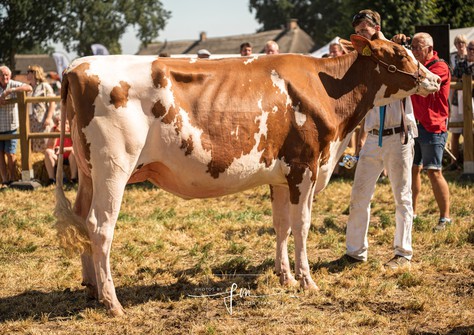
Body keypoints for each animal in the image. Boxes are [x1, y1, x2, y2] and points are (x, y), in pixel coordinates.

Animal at [55, 35, 440, 316]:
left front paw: (286, 278)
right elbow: (302, 225)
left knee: (82, 219)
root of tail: (77, 67)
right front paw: (307, 281)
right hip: (114, 168)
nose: (435, 78)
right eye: (399, 53)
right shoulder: (304, 167)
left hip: (89, 173)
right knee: (100, 226)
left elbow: (281, 225)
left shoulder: (280, 175)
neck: (326, 88)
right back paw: (113, 303)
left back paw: (92, 288)